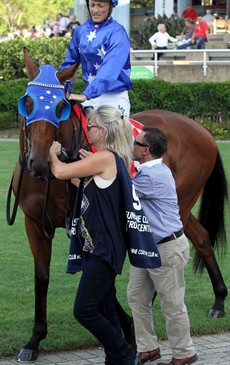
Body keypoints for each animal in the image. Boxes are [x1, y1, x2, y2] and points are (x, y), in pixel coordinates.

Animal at [7, 48, 228, 362]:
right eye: (27, 102)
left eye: (60, 106)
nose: (37, 161)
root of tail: (203, 130)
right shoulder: (35, 223)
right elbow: (42, 277)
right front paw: (34, 340)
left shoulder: (85, 221)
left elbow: (101, 279)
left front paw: (127, 329)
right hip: (178, 207)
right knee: (201, 237)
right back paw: (218, 300)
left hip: (180, 201)